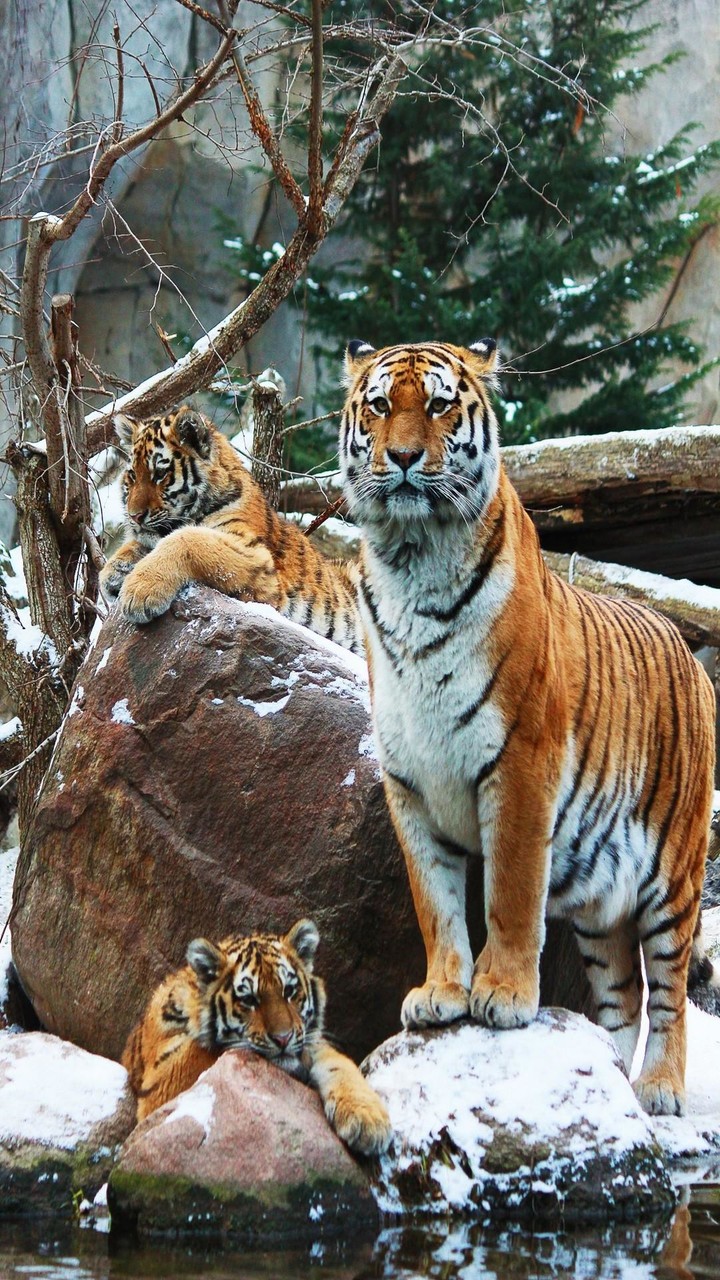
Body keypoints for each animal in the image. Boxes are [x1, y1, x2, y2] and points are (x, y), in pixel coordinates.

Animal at [99, 405, 361, 652]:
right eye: (132, 476)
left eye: (160, 474)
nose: (134, 516)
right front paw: (113, 573)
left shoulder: (255, 554)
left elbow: (186, 538)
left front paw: (139, 591)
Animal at [122, 918, 392, 1156]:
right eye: (249, 999)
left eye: (289, 991)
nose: (283, 1039)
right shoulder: (159, 1082)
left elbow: (338, 1064)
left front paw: (369, 1121)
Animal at [339, 337, 716, 1117]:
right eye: (381, 405)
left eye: (440, 405)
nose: (403, 458)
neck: (410, 561)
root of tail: (688, 648)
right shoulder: (408, 782)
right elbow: (437, 904)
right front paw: (441, 992)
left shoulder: (518, 764)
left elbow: (510, 894)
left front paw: (504, 995)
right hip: (603, 908)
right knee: (623, 993)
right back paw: (608, 1071)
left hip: (675, 873)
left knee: (669, 991)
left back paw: (659, 1090)